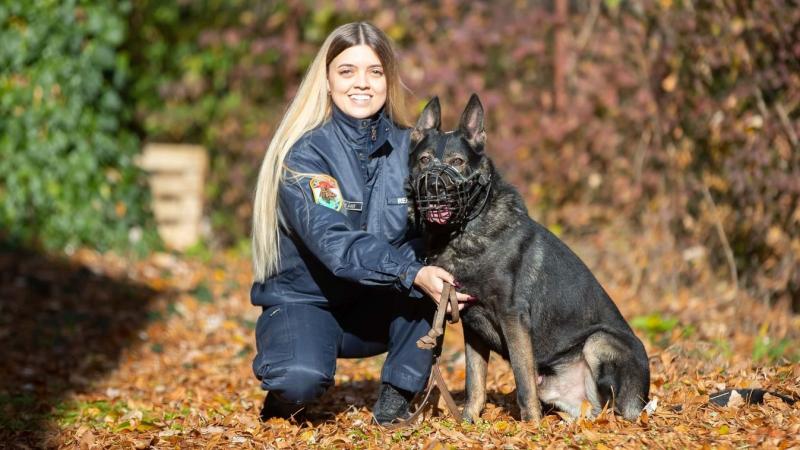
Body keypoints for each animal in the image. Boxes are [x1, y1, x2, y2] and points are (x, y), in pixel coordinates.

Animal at [406, 95, 648, 422]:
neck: (465, 230)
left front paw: (531, 425)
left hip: (598, 341)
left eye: (457, 162)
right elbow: (474, 381)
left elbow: (522, 378)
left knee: (613, 408)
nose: (435, 187)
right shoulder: (471, 325)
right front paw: (468, 421)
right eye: (424, 160)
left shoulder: (513, 318)